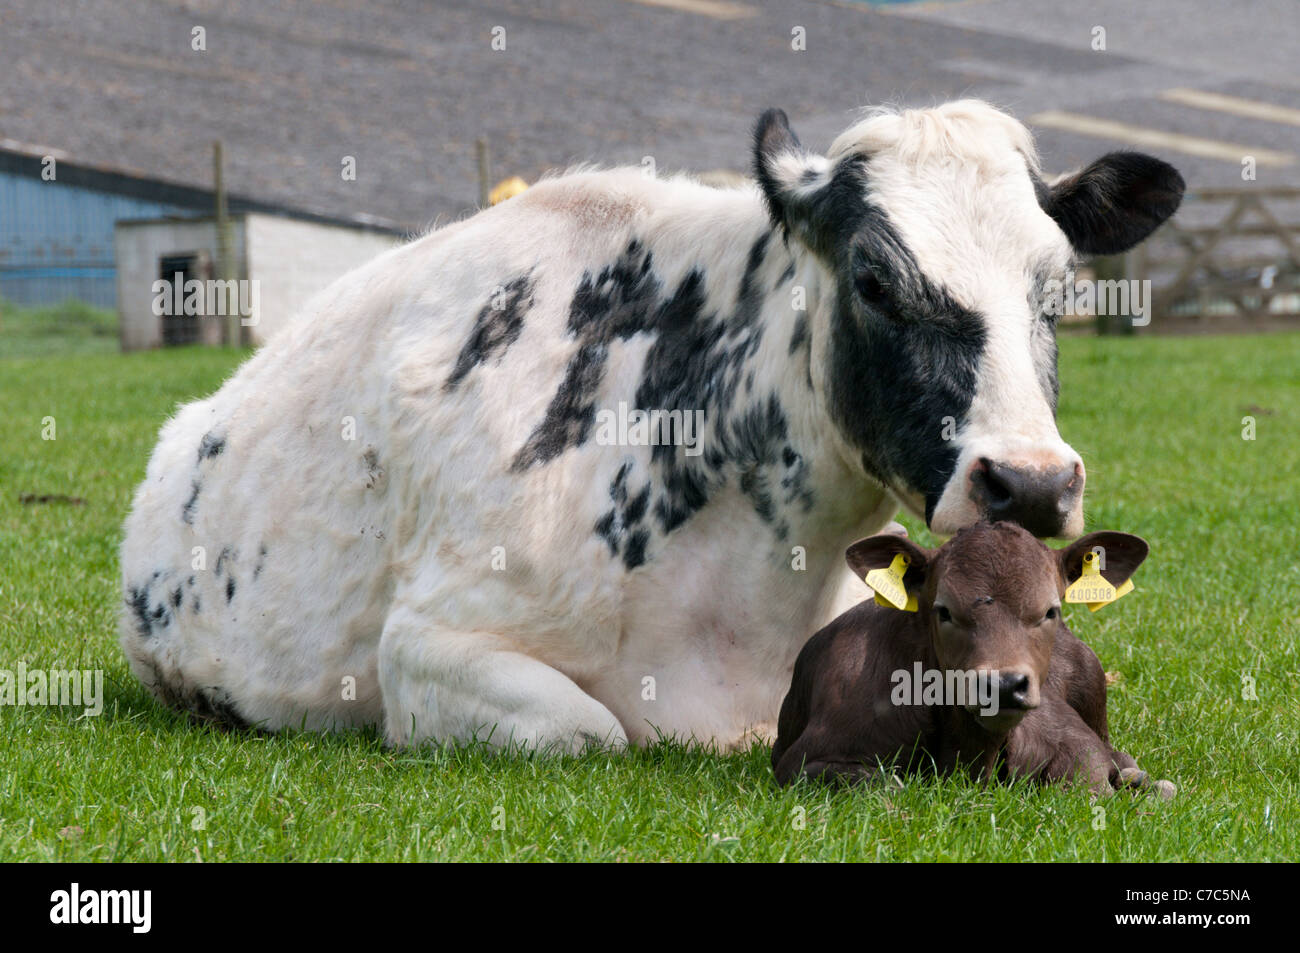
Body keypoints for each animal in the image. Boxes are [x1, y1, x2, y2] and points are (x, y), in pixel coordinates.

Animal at [769, 520, 1180, 795]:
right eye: (944, 611)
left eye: (1051, 611)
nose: (1003, 685)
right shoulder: (802, 761)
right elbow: (887, 784)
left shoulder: (1070, 736)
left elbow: (1086, 776)